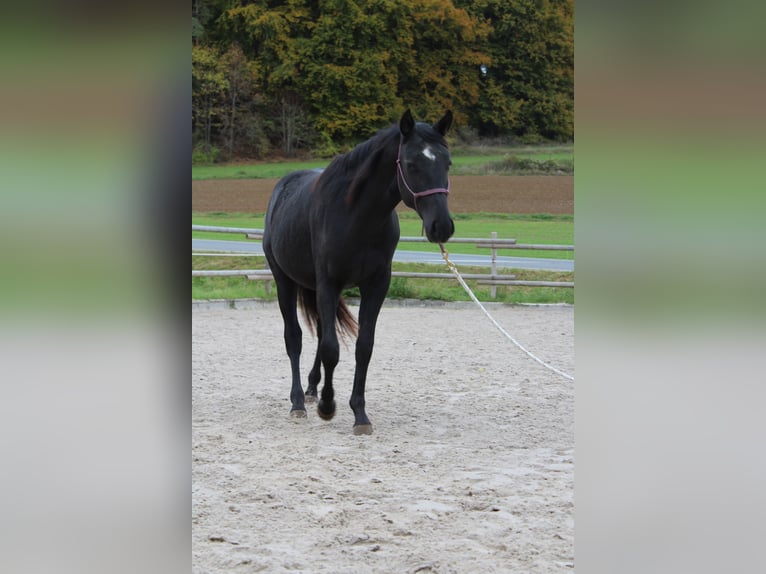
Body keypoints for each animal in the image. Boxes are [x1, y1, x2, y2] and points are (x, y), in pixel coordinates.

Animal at [262, 109, 454, 434]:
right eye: (412, 164)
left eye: (447, 163)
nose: (442, 226)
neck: (356, 217)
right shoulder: (328, 283)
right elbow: (331, 348)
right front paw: (328, 406)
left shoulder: (376, 285)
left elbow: (363, 346)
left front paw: (359, 413)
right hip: (284, 281)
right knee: (295, 338)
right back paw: (299, 401)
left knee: (319, 334)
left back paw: (312, 389)